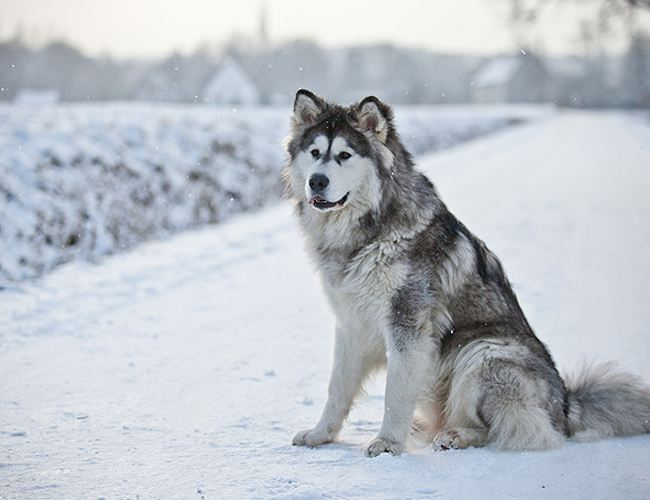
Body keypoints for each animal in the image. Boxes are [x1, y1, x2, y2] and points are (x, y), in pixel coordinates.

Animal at [284, 90, 648, 458]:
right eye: (315, 153)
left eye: (344, 155)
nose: (316, 181)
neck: (368, 230)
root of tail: (565, 406)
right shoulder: (351, 324)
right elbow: (337, 388)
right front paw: (321, 434)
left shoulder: (408, 324)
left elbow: (395, 392)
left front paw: (387, 443)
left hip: (483, 352)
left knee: (512, 429)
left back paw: (456, 436)